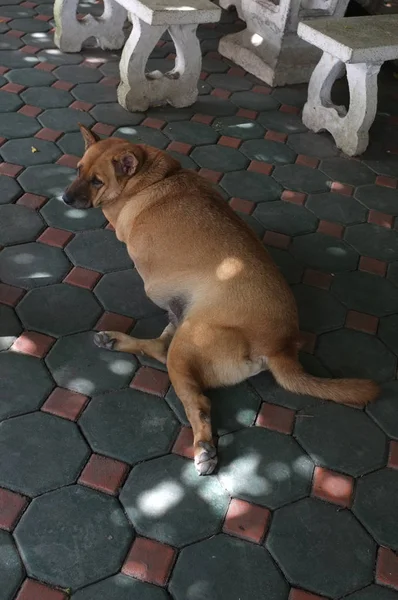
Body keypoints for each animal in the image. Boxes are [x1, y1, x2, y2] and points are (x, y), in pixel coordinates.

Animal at [63, 125, 380, 474]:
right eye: (78, 170)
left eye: (97, 182)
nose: (65, 198)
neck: (151, 178)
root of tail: (280, 347)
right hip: (182, 325)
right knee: (160, 348)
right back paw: (114, 340)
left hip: (189, 342)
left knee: (197, 400)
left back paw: (204, 447)